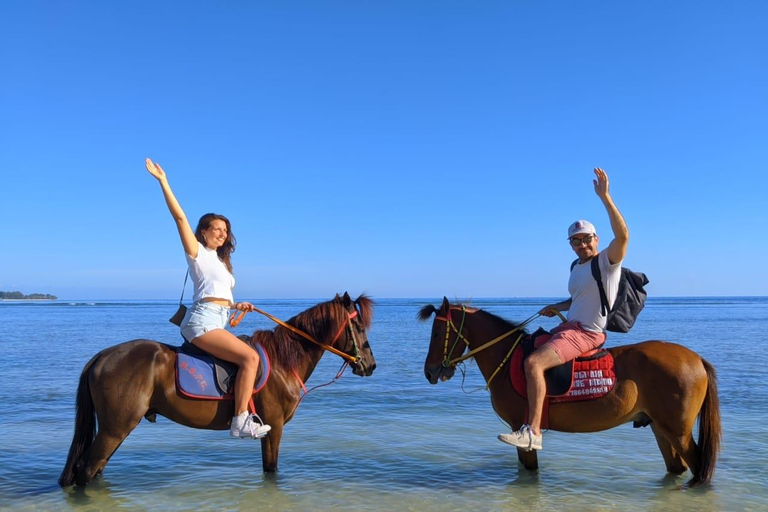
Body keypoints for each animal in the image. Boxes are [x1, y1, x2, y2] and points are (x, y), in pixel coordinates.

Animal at [57, 292, 376, 488]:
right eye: (359, 327)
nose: (370, 365)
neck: (283, 361)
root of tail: (102, 356)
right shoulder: (274, 427)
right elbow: (271, 469)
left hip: (117, 428)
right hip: (116, 428)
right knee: (86, 469)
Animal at [416, 298, 724, 486]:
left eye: (436, 333)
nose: (430, 372)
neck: (508, 357)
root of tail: (697, 359)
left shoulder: (520, 426)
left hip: (678, 432)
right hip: (660, 428)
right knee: (677, 468)